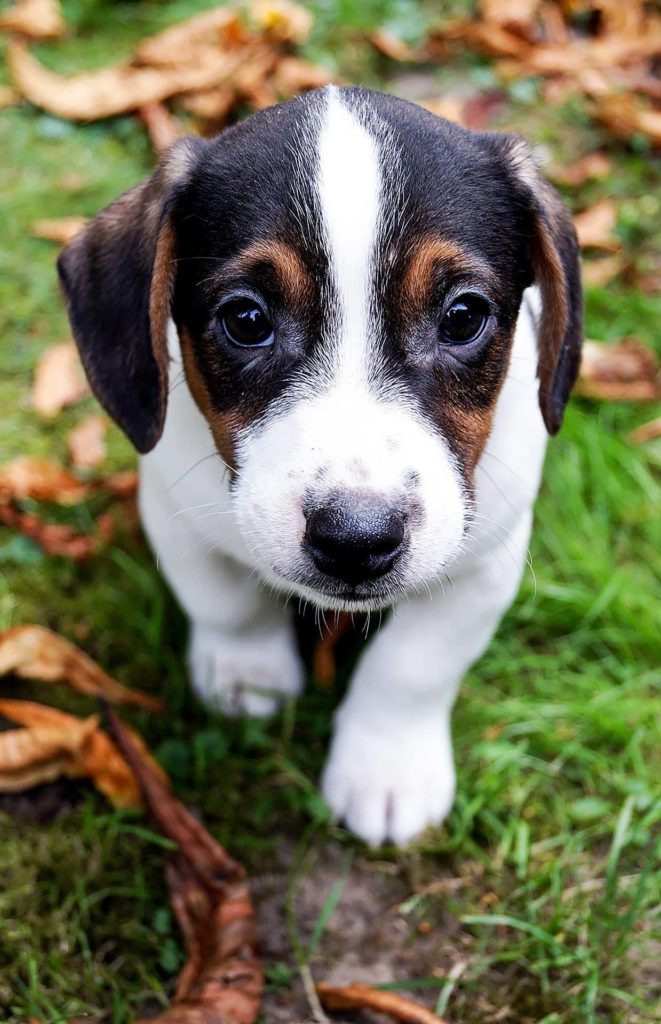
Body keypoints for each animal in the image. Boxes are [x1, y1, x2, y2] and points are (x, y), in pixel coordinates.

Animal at [58, 88, 585, 843]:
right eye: (246, 320)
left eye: (462, 316)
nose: (356, 539)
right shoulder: (173, 512)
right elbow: (225, 604)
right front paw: (247, 675)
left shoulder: (486, 559)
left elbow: (414, 665)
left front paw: (386, 769)